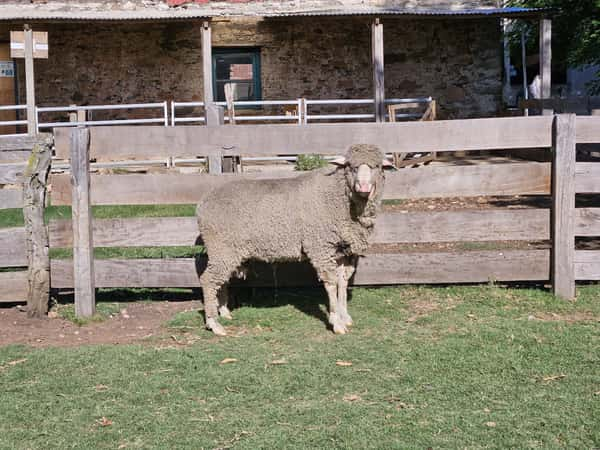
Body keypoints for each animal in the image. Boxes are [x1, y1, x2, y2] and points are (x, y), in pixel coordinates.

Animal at [198, 144, 390, 334]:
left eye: (377, 166)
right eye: (351, 167)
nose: (363, 186)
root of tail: (203, 204)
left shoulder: (343, 250)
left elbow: (342, 282)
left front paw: (345, 317)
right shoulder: (321, 246)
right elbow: (331, 283)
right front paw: (336, 322)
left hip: (227, 251)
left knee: (221, 280)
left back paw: (223, 311)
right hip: (222, 247)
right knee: (208, 280)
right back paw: (214, 323)